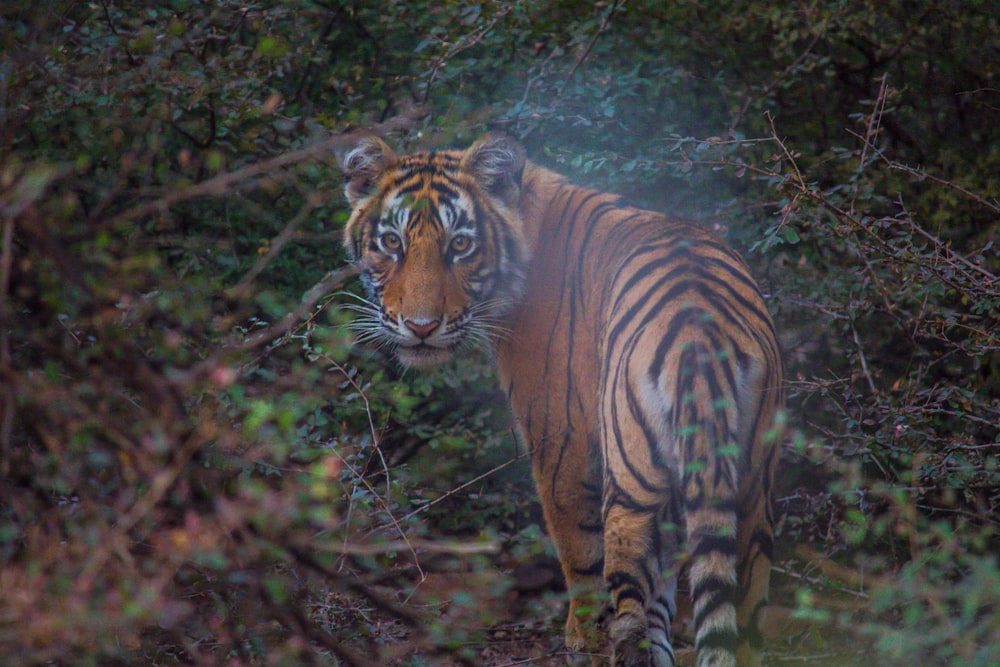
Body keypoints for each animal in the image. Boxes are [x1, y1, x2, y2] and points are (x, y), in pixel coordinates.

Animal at [340, 132, 784, 667]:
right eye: (392, 243)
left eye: (461, 245)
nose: (421, 328)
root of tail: (700, 332)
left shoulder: (560, 437)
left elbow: (578, 551)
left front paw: (579, 638)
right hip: (750, 485)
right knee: (742, 610)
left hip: (630, 475)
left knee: (628, 599)